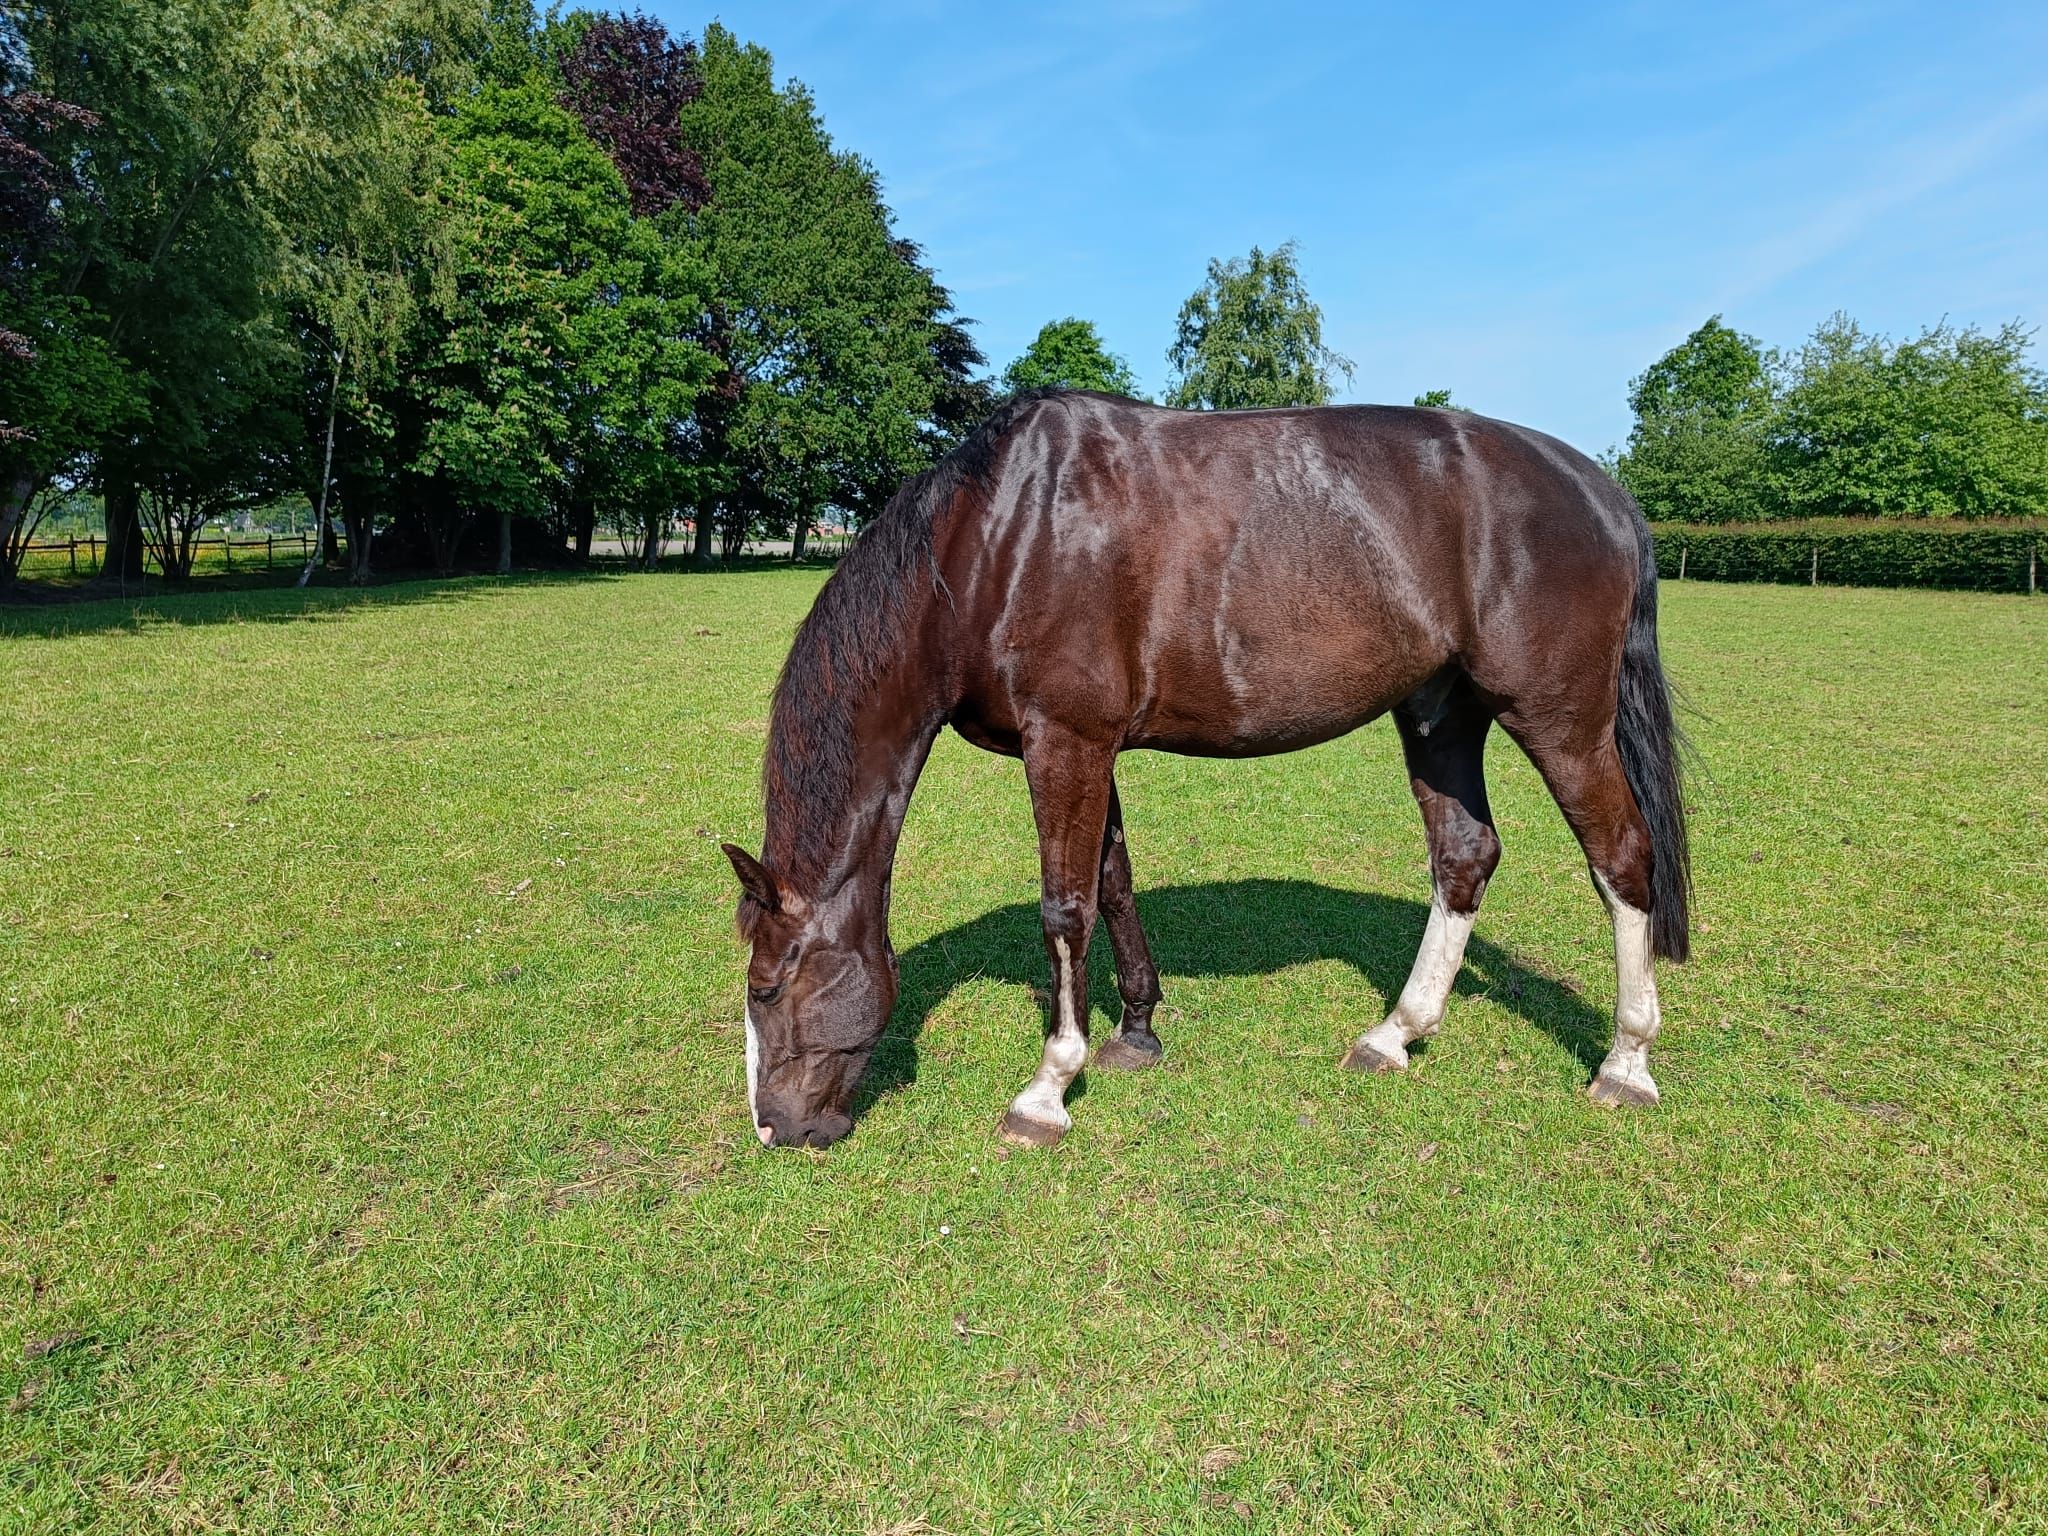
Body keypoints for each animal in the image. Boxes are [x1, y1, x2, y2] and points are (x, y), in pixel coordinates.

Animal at [723, 389, 1690, 1150]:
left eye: (766, 987)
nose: (774, 1128)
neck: (995, 540)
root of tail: (1604, 491)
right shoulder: (1092, 746)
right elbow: (1111, 884)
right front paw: (1136, 1031)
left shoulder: (1064, 741)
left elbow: (1064, 908)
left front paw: (1048, 1089)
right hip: (1441, 716)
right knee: (1465, 857)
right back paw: (1395, 1034)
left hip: (1559, 722)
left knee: (1623, 861)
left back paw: (1626, 1061)